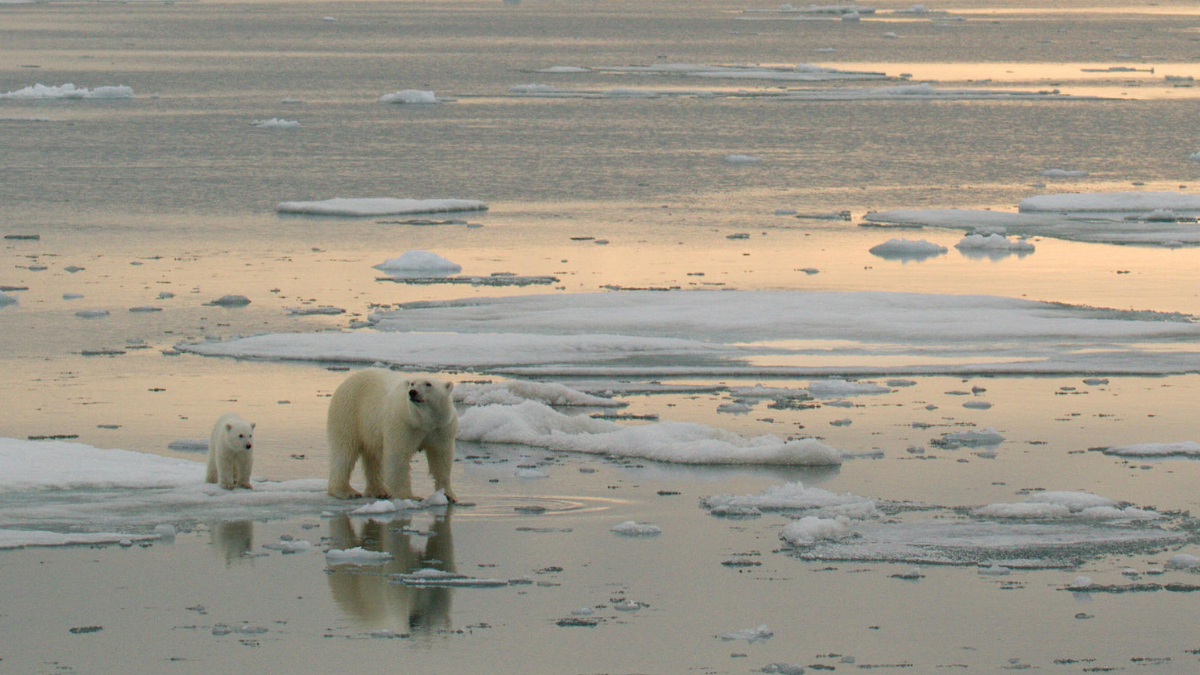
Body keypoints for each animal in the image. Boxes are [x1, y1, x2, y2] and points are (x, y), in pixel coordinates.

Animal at [326, 369, 458, 502]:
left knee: (372, 457)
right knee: (344, 451)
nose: (412, 392)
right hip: (349, 412)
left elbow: (441, 457)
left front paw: (448, 495)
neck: (423, 422)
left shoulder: (442, 427)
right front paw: (409, 497)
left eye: (428, 384)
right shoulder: (403, 424)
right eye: (412, 383)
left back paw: (379, 491)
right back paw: (345, 491)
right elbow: (398, 456)